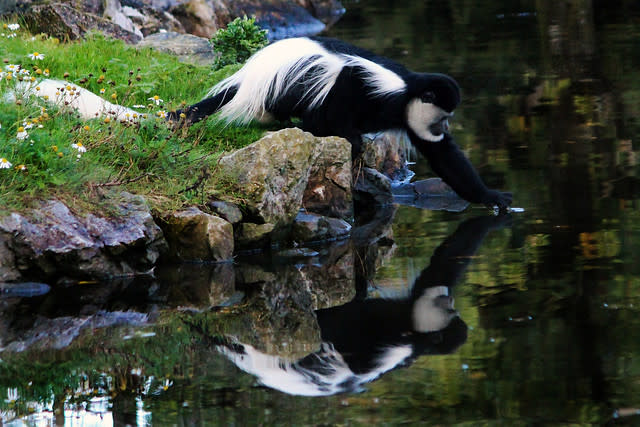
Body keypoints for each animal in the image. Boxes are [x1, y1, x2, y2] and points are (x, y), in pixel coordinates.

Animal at [172, 36, 512, 209]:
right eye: (444, 117)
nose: (444, 129)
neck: (406, 95)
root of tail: (255, 73)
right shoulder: (367, 88)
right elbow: (344, 95)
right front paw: (353, 141)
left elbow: (443, 156)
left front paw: (490, 196)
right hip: (306, 78)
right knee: (318, 99)